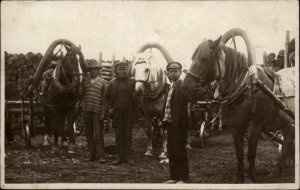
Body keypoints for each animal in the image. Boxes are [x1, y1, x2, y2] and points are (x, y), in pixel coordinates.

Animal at [182, 35, 294, 182]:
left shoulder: (255, 125)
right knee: (288, 141)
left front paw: (251, 178)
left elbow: (251, 153)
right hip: (286, 123)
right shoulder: (234, 126)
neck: (245, 88)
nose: (185, 87)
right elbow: (239, 153)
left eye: (204, 59)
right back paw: (280, 168)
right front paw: (239, 177)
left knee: (288, 142)